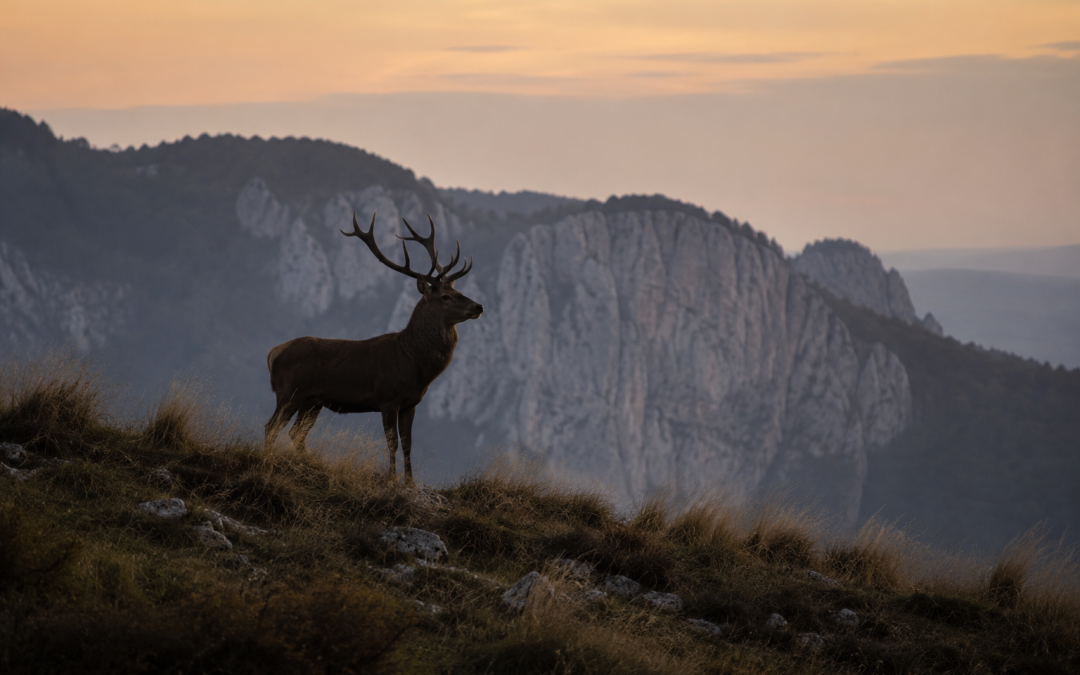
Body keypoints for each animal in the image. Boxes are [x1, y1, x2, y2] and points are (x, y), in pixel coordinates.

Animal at [264, 212, 483, 483]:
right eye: (446, 297)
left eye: (458, 290)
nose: (478, 306)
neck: (416, 365)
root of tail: (273, 353)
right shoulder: (387, 398)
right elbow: (392, 442)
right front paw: (391, 480)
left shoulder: (411, 403)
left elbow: (408, 443)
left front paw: (410, 483)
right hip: (289, 392)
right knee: (271, 427)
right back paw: (268, 459)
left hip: (312, 401)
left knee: (296, 433)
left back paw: (310, 463)